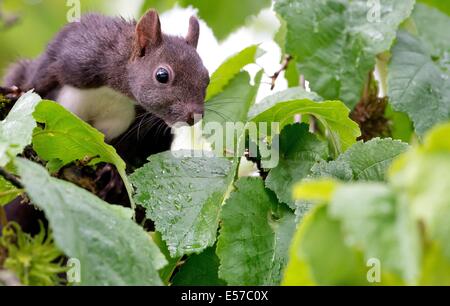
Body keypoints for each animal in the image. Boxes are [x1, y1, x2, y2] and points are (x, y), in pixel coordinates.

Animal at [2, 8, 210, 143]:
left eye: (207, 78)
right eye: (162, 75)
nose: (195, 116)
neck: (115, 91)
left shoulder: (117, 120)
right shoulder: (77, 55)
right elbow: (40, 77)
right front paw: (19, 92)